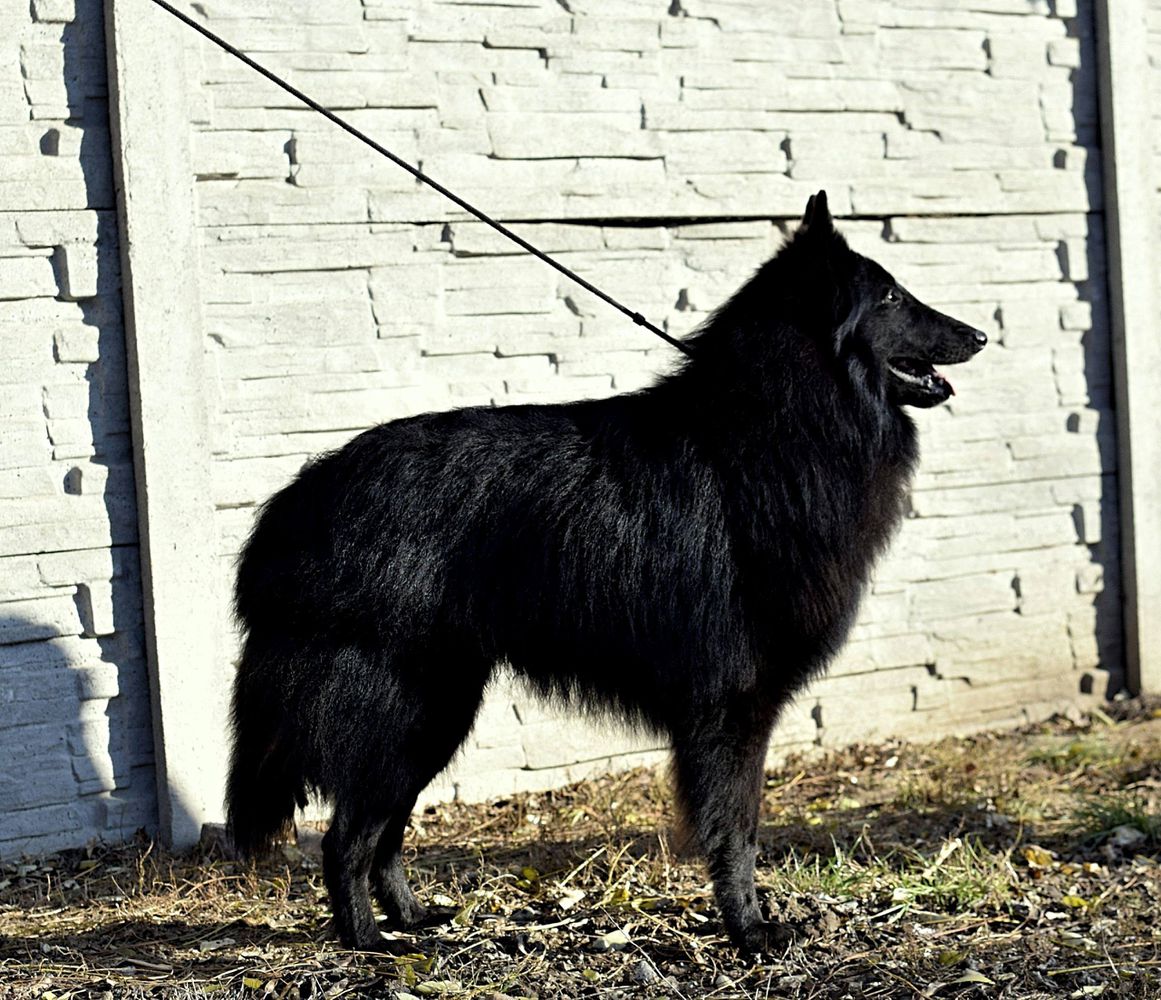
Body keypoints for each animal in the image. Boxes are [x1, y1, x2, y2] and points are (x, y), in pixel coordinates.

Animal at [228, 192, 989, 952]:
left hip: (437, 711)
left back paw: (413, 917)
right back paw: (369, 940)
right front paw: (748, 929)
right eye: (890, 296)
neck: (775, 424)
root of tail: (299, 501)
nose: (980, 335)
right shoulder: (733, 705)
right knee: (347, 837)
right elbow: (737, 830)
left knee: (384, 830)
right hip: (403, 709)